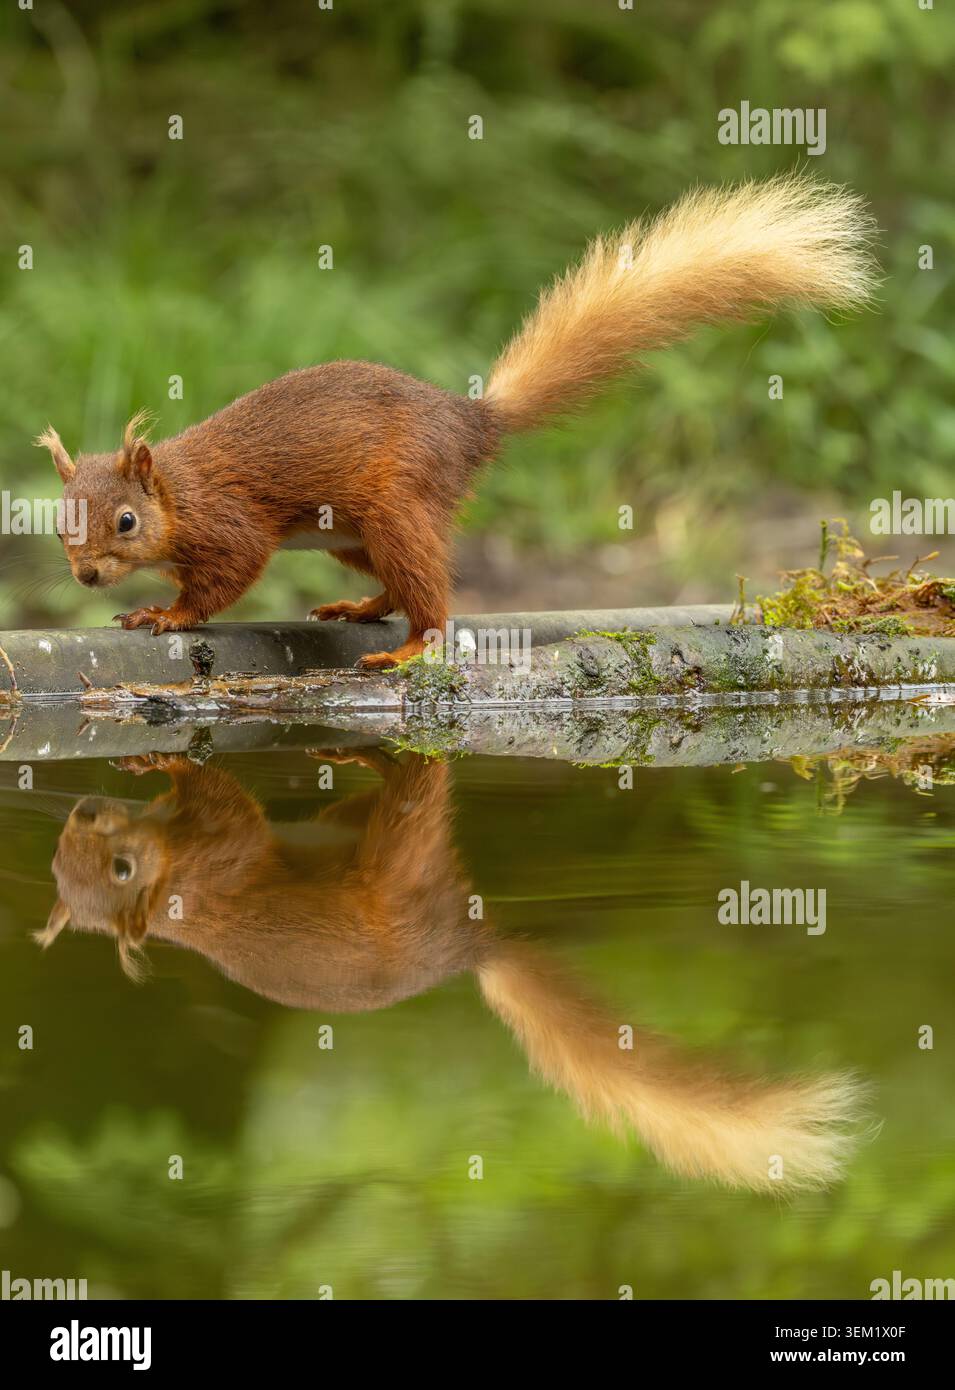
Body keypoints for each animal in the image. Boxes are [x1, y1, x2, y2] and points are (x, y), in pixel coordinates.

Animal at [37, 175, 876, 668]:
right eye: (57, 523)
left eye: (124, 522)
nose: (85, 576)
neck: (176, 491)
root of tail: (472, 421)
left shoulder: (229, 521)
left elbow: (224, 579)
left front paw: (165, 614)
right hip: (352, 535)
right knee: (399, 582)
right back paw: (360, 608)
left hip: (396, 503)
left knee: (433, 600)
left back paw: (408, 650)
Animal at [38, 747, 867, 1191]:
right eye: (58, 864)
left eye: (117, 868)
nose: (80, 808)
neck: (174, 883)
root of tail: (465, 942)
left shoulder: (220, 859)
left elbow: (223, 801)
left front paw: (166, 758)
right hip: (390, 857)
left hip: (379, 851)